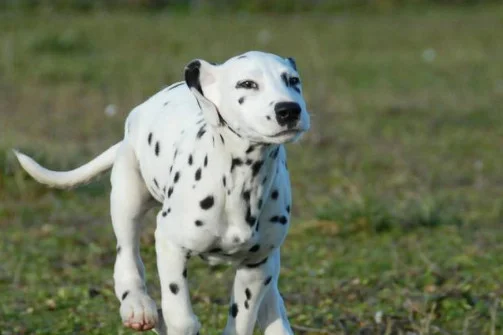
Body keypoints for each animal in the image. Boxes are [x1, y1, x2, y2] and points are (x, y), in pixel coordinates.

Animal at [12, 50, 312, 335]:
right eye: (247, 84)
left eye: (293, 81)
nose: (289, 110)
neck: (242, 179)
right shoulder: (170, 243)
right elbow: (181, 318)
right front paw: (168, 321)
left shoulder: (256, 266)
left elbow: (243, 317)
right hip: (127, 199)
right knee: (127, 257)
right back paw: (137, 306)